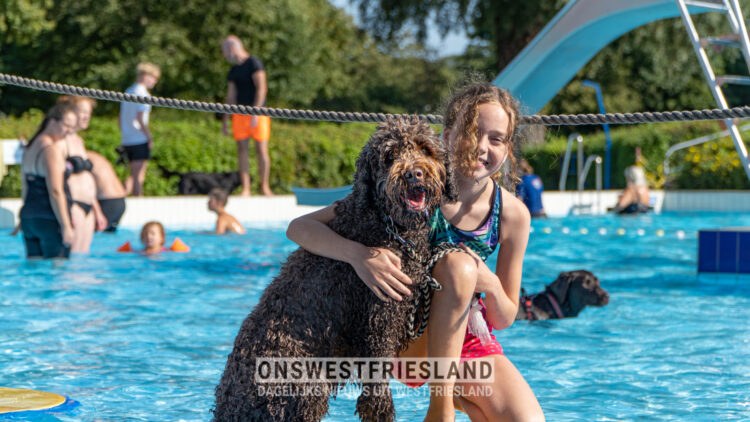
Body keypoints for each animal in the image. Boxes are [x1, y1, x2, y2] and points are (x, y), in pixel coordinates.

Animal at [212, 116, 458, 422]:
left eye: (425, 149)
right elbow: (377, 396)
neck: (387, 224)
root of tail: (225, 409)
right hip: (302, 385)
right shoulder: (379, 322)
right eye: (389, 156)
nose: (414, 175)